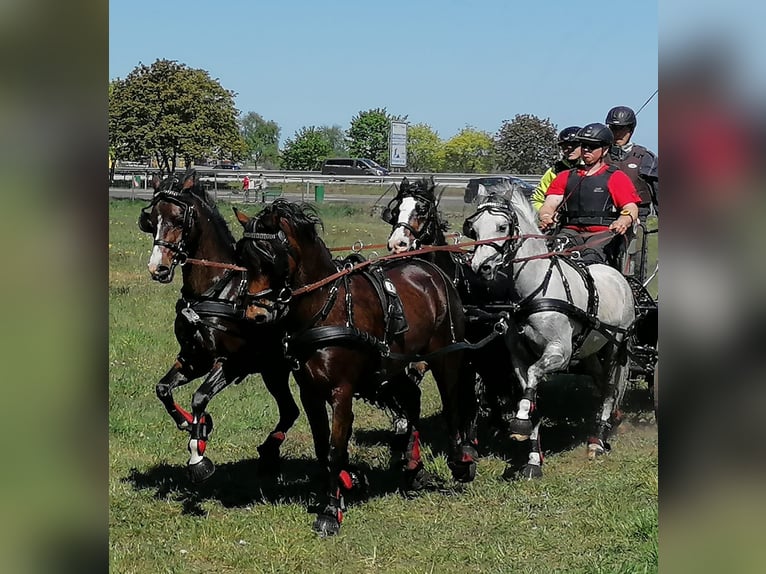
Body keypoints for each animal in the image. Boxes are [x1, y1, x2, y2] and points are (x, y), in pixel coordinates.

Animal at [141, 172, 300, 486]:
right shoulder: (194, 359)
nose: (158, 269)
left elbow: (199, 398)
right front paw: (191, 424)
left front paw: (198, 453)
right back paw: (268, 453)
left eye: (178, 219)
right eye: (151, 220)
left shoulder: (231, 363)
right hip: (274, 370)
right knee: (290, 411)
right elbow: (163, 389)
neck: (217, 290)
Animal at [234, 200, 476, 536]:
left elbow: (335, 449)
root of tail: (432, 271)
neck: (327, 307)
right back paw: (412, 466)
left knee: (452, 403)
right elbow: (322, 448)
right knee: (412, 401)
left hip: (446, 355)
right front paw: (339, 491)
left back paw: (460, 461)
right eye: (242, 258)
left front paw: (330, 512)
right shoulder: (310, 392)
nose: (256, 315)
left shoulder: (342, 391)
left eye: (272, 258)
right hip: (394, 365)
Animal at [464, 191, 640, 480]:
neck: (535, 291)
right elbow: (530, 392)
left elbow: (536, 374)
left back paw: (598, 441)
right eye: (474, 229)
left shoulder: (560, 352)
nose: (481, 267)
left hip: (616, 347)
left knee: (609, 389)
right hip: (590, 350)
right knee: (601, 382)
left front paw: (519, 422)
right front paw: (533, 458)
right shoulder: (518, 358)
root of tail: (620, 277)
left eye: (502, 227)